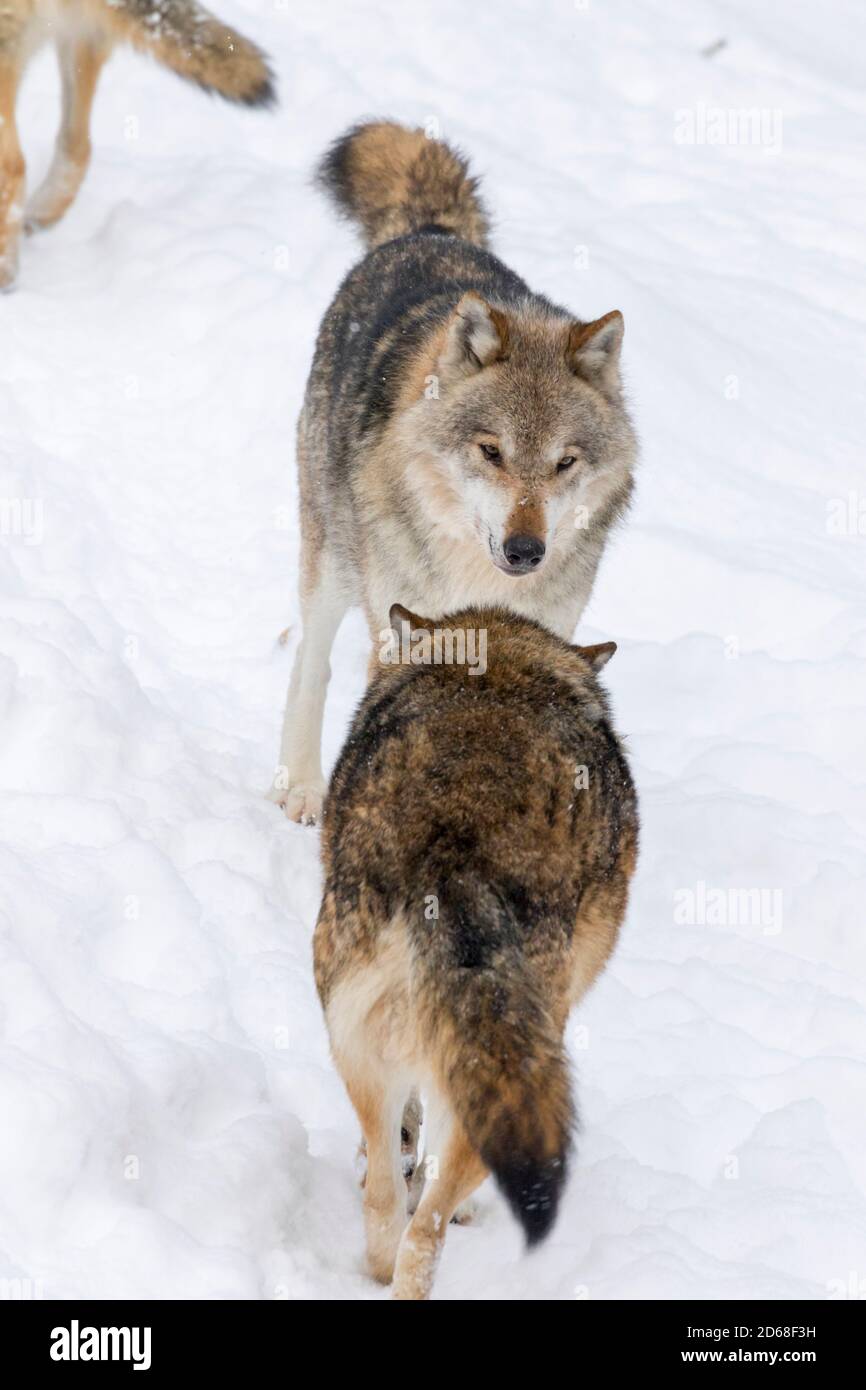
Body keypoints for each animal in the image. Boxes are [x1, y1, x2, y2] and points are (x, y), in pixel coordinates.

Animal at [270, 119, 637, 823]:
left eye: (565, 462)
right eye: (492, 452)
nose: (526, 551)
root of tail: (431, 232)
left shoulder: (553, 637)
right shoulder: (405, 628)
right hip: (333, 561)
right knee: (310, 659)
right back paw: (298, 785)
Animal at [314, 605, 638, 1300]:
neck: (506, 653)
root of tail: (455, 840)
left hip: (356, 1043)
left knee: (386, 1202)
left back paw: (376, 1260)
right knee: (426, 1232)